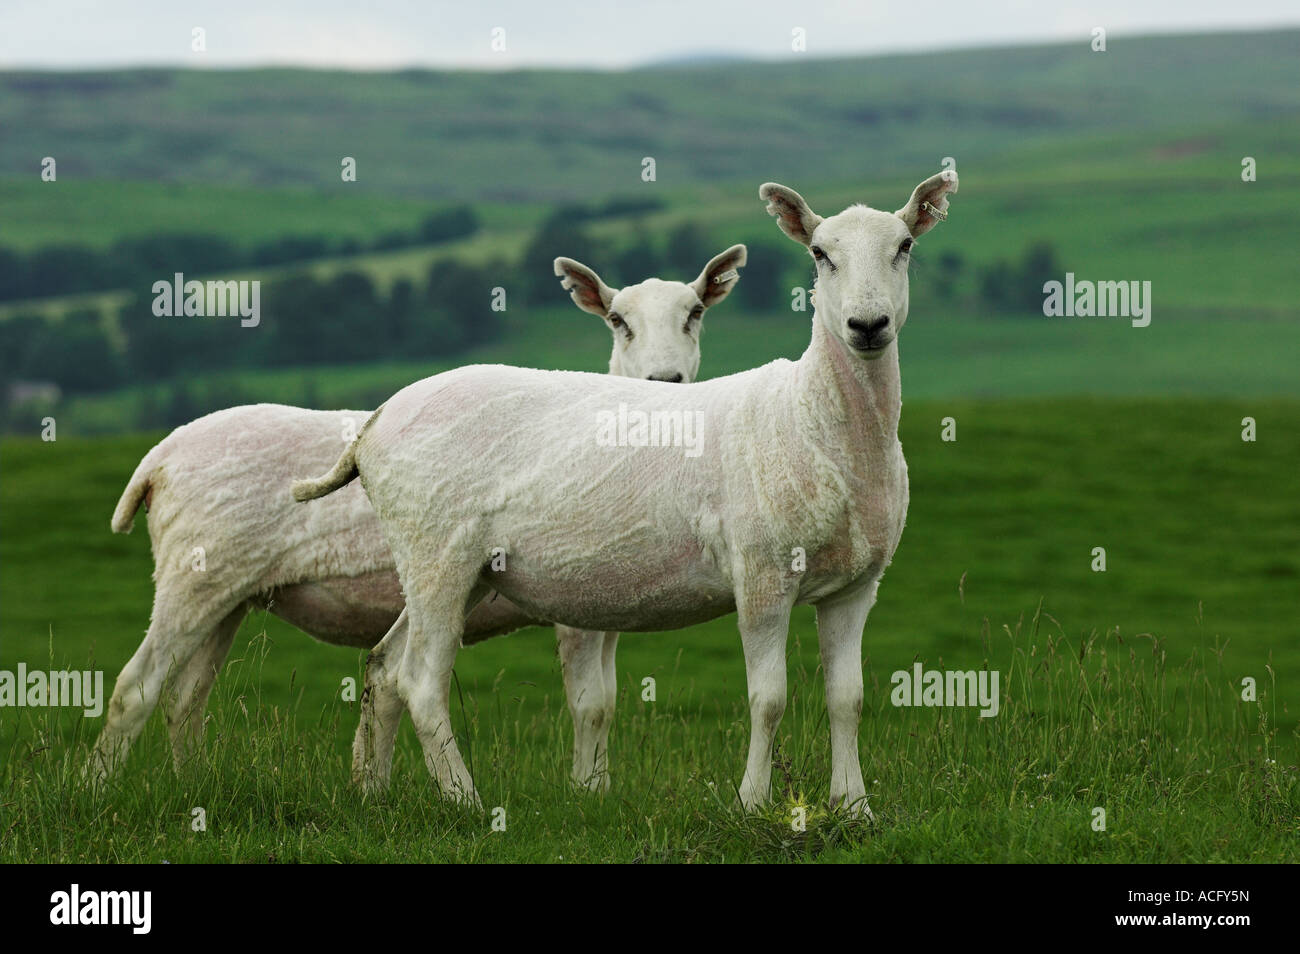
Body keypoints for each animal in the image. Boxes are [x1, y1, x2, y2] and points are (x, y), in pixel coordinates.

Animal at [86, 244, 748, 785]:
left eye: (695, 312)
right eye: (618, 321)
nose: (667, 379)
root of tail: (159, 459)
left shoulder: (609, 594)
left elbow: (605, 702)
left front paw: (596, 792)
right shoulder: (576, 608)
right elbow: (591, 706)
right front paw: (587, 794)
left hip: (229, 594)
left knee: (185, 699)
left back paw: (192, 788)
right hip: (194, 576)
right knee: (135, 689)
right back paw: (97, 791)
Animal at [299, 171, 961, 816]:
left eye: (905, 246)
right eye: (820, 254)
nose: (867, 326)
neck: (819, 420)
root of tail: (375, 421)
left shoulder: (856, 585)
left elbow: (848, 698)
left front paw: (854, 808)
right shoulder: (762, 573)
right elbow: (768, 699)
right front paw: (752, 804)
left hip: (457, 567)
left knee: (384, 668)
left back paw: (373, 793)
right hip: (436, 551)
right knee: (421, 680)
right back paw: (464, 799)